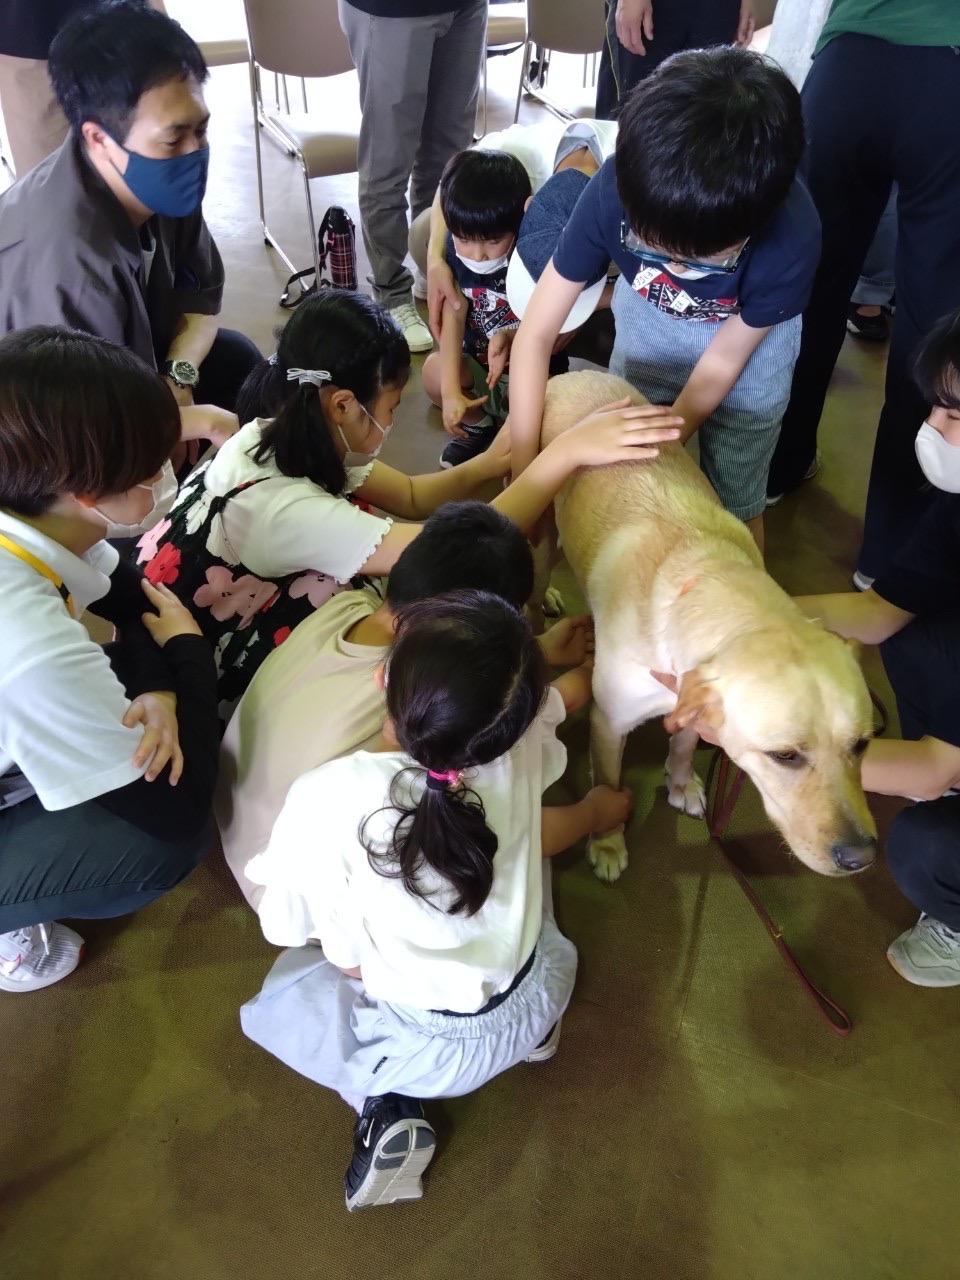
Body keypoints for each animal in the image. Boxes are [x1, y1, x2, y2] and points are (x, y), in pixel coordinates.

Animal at [537, 373, 885, 880]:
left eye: (862, 745)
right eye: (784, 756)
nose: (861, 858)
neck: (706, 580)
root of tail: (574, 374)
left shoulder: (692, 701)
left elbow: (683, 744)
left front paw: (681, 783)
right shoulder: (610, 721)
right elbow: (608, 782)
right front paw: (606, 841)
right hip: (543, 528)